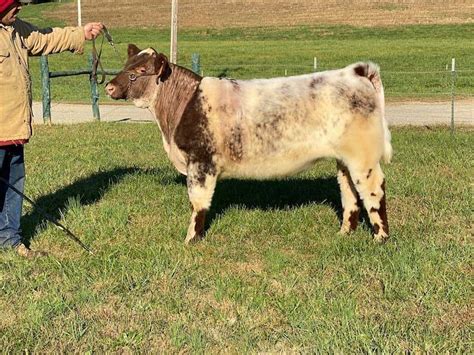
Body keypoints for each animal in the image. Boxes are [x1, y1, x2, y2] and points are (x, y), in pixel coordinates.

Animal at [106, 43, 392, 245]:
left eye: (140, 72)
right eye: (127, 64)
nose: (108, 86)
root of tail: (355, 72)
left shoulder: (201, 162)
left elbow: (198, 203)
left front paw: (191, 239)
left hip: (363, 156)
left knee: (373, 191)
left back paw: (381, 238)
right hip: (344, 159)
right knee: (350, 193)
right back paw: (344, 233)